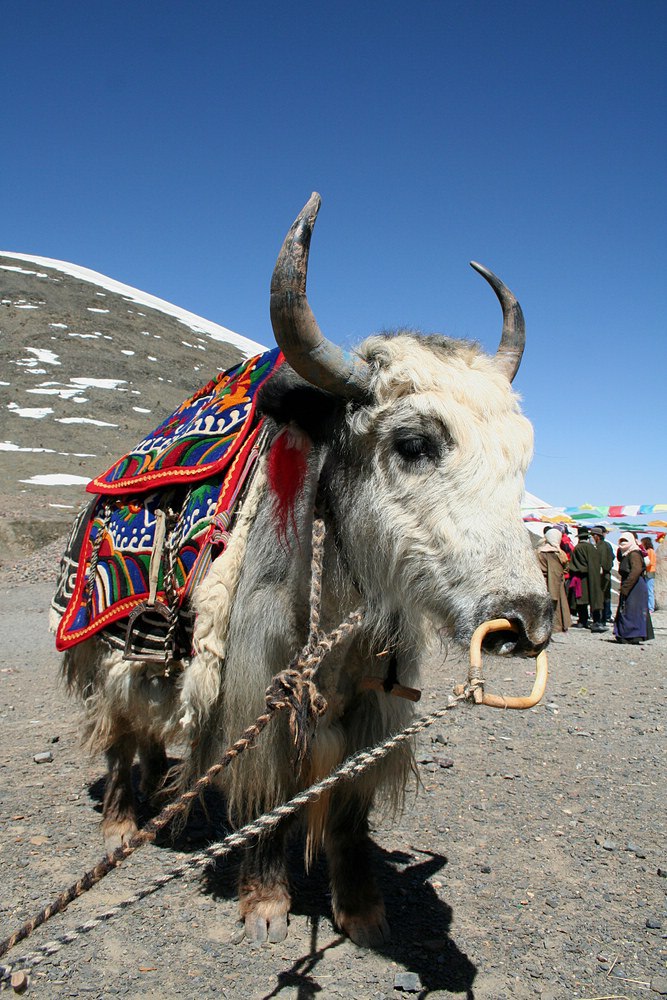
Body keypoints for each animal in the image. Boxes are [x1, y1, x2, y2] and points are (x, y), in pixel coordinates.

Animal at [55, 193, 552, 949]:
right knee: (124, 734)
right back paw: (120, 823)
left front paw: (363, 912)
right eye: (413, 442)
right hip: (110, 653)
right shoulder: (261, 687)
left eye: (520, 453)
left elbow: (347, 808)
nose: (525, 620)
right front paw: (265, 903)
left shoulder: (371, 707)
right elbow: (271, 794)